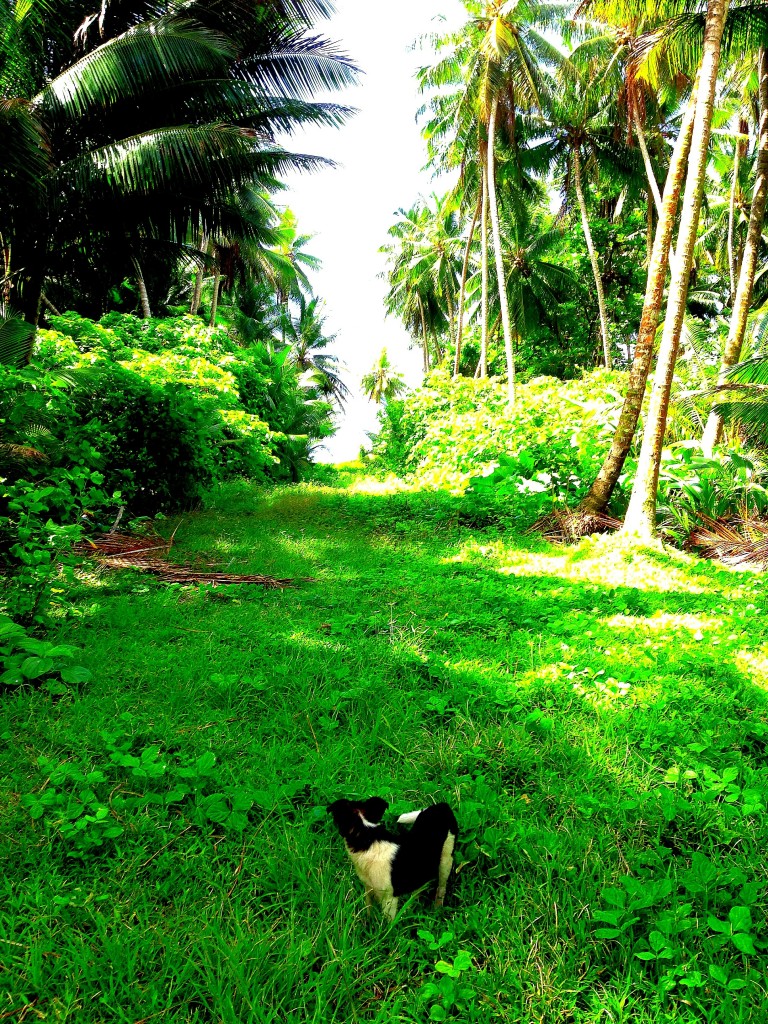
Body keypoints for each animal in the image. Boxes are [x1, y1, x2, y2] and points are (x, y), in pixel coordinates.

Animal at [325, 794, 456, 925]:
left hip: (446, 860)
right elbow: (369, 908)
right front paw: (368, 924)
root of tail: (441, 806)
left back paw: (437, 910)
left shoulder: (389, 899)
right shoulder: (368, 887)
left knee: (441, 888)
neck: (367, 836)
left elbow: (386, 925)